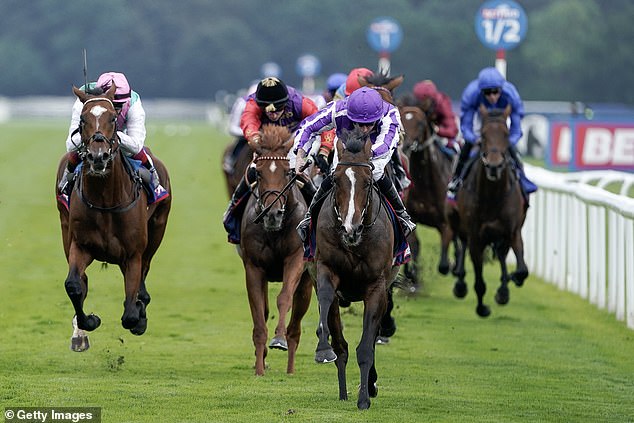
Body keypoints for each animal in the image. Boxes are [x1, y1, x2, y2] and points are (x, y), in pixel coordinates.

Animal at [55, 84, 170, 352]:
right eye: (82, 119)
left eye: (113, 118)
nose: (98, 157)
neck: (106, 200)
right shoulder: (81, 245)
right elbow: (74, 284)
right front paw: (88, 323)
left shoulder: (133, 253)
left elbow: (130, 313)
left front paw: (138, 315)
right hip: (65, 229)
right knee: (81, 281)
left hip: (157, 230)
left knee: (144, 273)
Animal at [238, 124, 312, 376]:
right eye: (258, 173)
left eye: (287, 172)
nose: (272, 214)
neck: (274, 231)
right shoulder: (254, 268)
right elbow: (259, 315)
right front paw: (260, 368)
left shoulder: (296, 259)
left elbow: (284, 298)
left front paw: (278, 338)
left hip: (307, 281)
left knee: (296, 327)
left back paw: (290, 368)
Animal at [314, 126, 398, 410]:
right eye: (335, 180)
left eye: (368, 182)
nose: (352, 229)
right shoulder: (325, 270)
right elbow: (326, 303)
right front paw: (322, 348)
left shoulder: (377, 287)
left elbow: (366, 347)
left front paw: (364, 398)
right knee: (341, 345)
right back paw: (342, 390)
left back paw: (368, 386)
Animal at [400, 106, 460, 290]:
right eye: (402, 119)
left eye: (420, 123)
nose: (406, 145)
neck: (426, 182)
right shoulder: (411, 218)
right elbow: (414, 246)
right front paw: (412, 275)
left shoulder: (445, 224)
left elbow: (443, 265)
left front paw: (452, 264)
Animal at [444, 106, 528, 318]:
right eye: (482, 134)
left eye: (506, 134)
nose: (494, 166)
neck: (492, 195)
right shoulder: (476, 237)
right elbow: (479, 282)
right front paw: (482, 308)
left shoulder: (512, 232)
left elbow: (522, 269)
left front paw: (510, 281)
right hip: (457, 220)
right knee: (462, 242)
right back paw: (460, 283)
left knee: (502, 255)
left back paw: (504, 289)